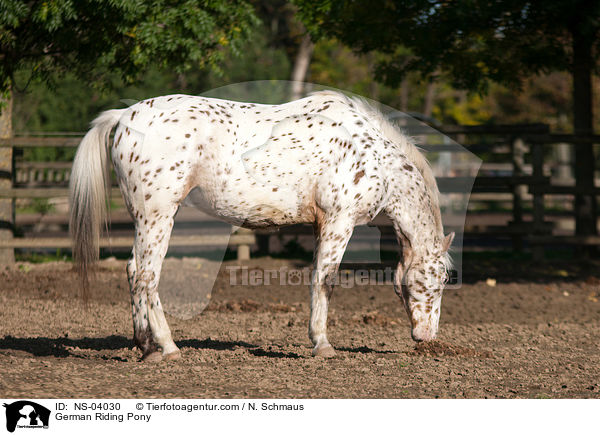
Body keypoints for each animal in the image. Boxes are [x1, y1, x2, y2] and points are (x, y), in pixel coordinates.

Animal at [70, 90, 452, 362]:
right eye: (439, 280)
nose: (428, 337)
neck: (373, 155)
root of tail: (124, 117)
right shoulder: (339, 222)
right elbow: (325, 280)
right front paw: (322, 344)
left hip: (148, 220)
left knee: (134, 271)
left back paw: (144, 345)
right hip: (157, 216)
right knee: (148, 276)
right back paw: (166, 347)